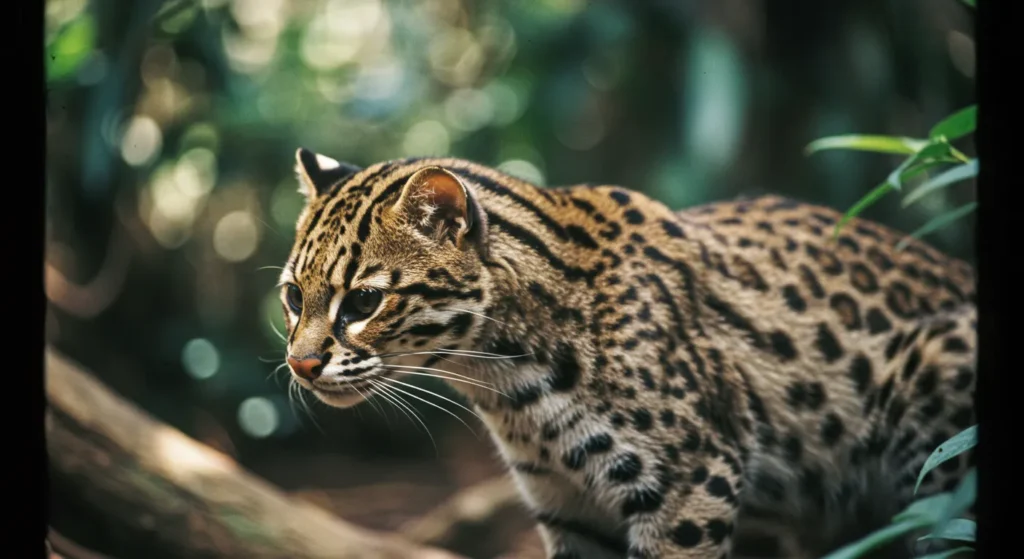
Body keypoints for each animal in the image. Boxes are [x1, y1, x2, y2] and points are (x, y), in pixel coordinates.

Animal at [276, 148, 976, 559]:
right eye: (291, 296)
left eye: (363, 301)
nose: (301, 365)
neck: (509, 385)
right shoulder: (569, 508)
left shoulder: (693, 486)